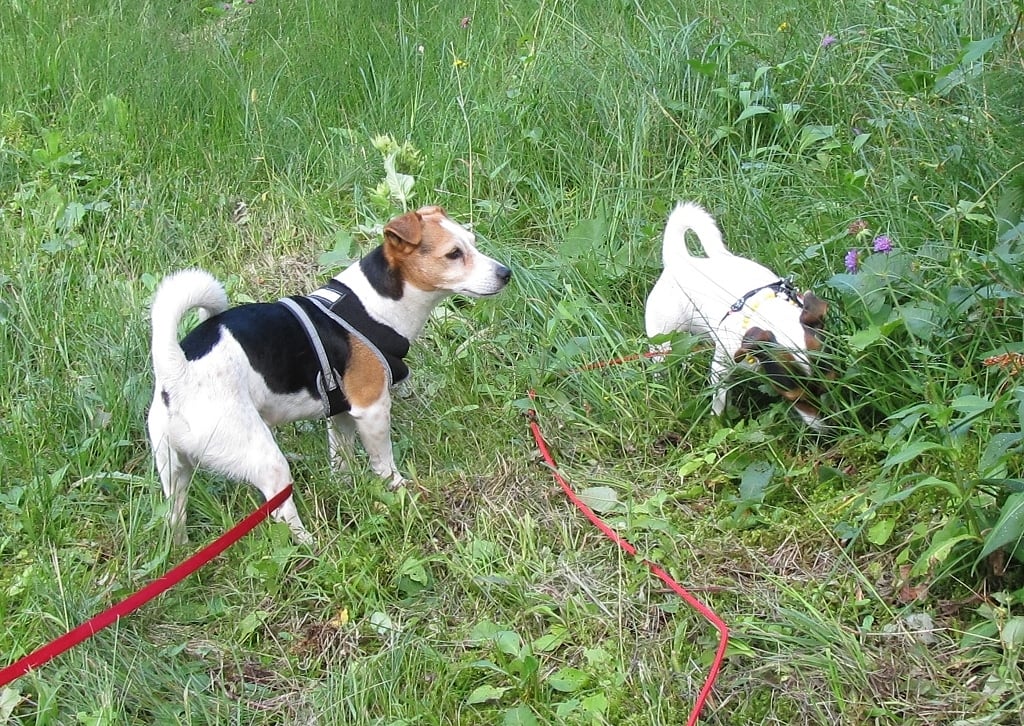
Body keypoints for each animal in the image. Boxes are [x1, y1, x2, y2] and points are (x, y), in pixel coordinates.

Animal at [147, 205, 511, 545]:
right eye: (453, 254)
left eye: (473, 243)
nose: (506, 273)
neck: (374, 305)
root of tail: (177, 372)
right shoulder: (372, 408)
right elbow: (384, 462)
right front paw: (399, 489)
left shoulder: (342, 414)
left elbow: (342, 459)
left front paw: (346, 488)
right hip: (263, 457)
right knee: (283, 513)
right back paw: (311, 545)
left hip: (173, 470)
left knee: (174, 514)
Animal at [644, 202, 832, 430]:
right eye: (796, 400)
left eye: (832, 386)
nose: (829, 430)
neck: (766, 313)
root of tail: (679, 259)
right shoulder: (721, 366)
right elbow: (719, 400)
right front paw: (718, 423)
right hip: (662, 338)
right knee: (661, 363)